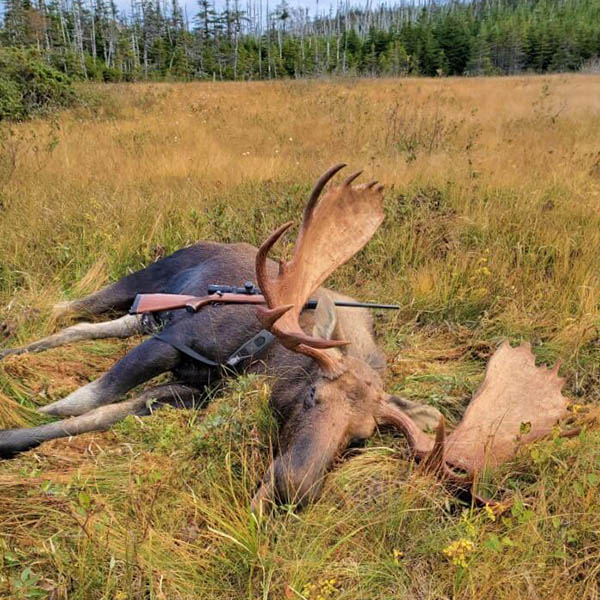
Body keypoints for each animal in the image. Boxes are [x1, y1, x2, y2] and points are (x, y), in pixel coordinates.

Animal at [0, 165, 572, 510]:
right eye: (313, 394)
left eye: (359, 438)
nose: (290, 489)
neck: (266, 357)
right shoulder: (173, 342)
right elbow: (86, 398)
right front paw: (31, 412)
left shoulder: (190, 388)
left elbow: (101, 414)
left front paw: (17, 437)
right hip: (142, 283)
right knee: (70, 307)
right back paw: (16, 330)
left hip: (144, 316)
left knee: (87, 326)